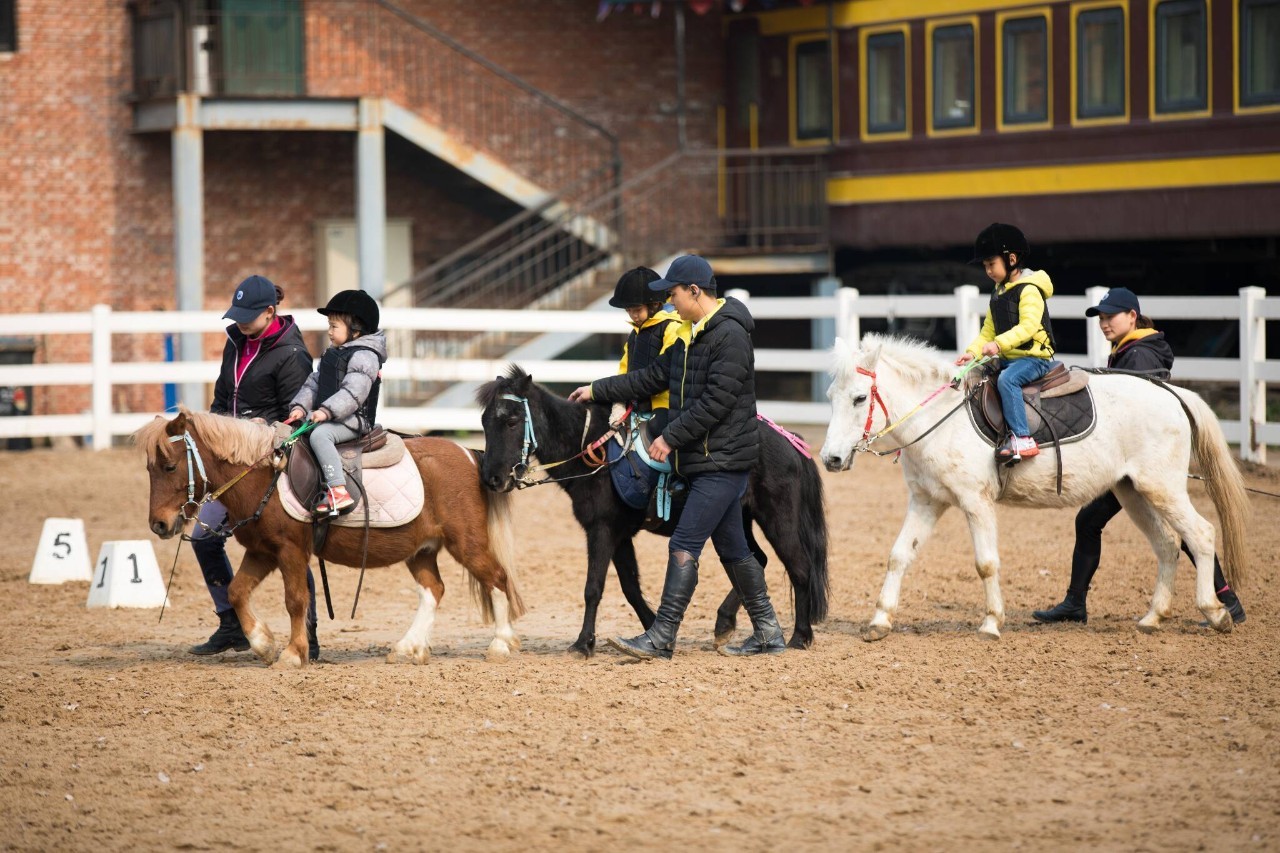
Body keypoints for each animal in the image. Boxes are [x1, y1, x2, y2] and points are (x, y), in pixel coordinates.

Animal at [136, 409, 524, 666]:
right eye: (149, 468)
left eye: (170, 466)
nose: (159, 525)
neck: (264, 474)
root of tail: (470, 455)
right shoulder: (262, 552)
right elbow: (236, 590)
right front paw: (263, 643)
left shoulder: (290, 551)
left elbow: (296, 600)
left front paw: (293, 654)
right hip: (421, 550)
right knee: (434, 590)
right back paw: (408, 648)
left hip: (468, 544)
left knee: (497, 579)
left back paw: (500, 645)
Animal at [478, 361, 829, 653]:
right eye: (484, 422)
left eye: (512, 421)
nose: (492, 478)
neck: (592, 448)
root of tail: (789, 439)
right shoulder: (619, 535)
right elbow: (630, 588)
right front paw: (652, 631)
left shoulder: (601, 529)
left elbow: (593, 587)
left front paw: (583, 643)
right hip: (735, 521)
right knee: (754, 559)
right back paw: (725, 624)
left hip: (778, 518)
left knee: (799, 568)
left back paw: (800, 637)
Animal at [819, 333, 1249, 637]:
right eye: (831, 396)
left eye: (860, 398)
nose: (831, 459)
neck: (940, 419)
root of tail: (1173, 394)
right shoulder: (926, 502)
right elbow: (898, 556)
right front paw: (879, 621)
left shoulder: (976, 503)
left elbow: (985, 563)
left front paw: (991, 623)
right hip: (1133, 493)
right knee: (1167, 544)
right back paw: (1153, 617)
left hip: (1163, 489)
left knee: (1201, 535)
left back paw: (1216, 613)